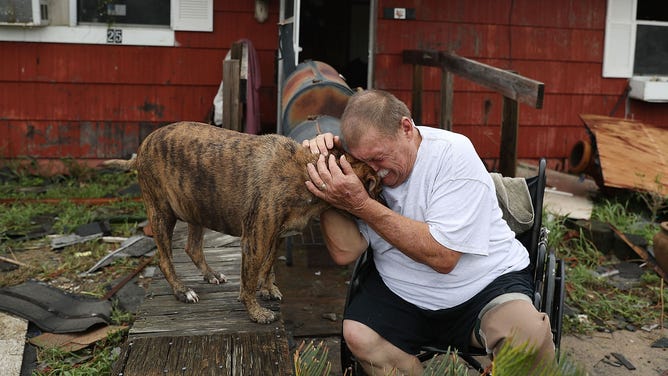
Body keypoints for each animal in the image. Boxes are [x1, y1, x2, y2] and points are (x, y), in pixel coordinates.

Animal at [107, 121, 384, 324]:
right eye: (377, 187)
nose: (384, 203)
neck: (308, 170)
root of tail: (142, 147)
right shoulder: (255, 240)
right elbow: (248, 279)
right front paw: (255, 311)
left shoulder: (276, 236)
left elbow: (268, 265)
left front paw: (268, 289)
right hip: (161, 213)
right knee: (165, 260)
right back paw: (181, 291)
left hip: (195, 206)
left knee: (192, 248)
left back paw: (211, 274)